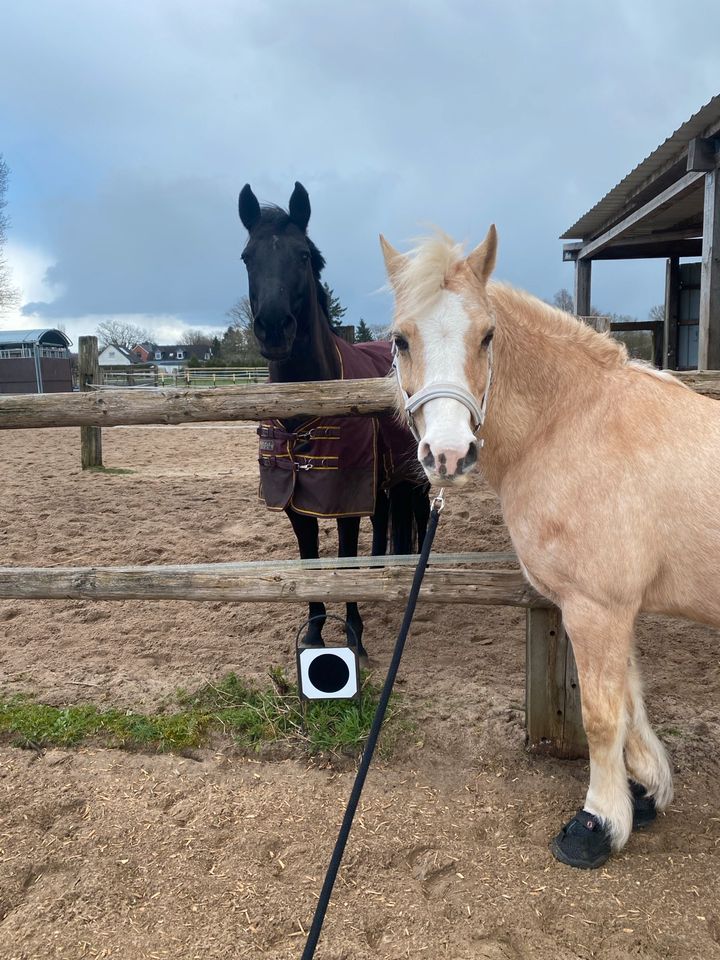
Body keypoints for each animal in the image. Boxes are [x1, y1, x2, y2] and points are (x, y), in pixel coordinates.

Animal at [238, 181, 428, 660]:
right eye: (247, 256)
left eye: (303, 254)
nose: (274, 327)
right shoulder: (294, 500)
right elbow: (310, 560)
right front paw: (314, 632)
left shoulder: (345, 497)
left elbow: (343, 558)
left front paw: (355, 635)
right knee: (386, 521)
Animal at [380, 225, 720, 872]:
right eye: (400, 338)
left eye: (487, 335)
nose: (448, 454)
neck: (573, 421)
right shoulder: (614, 609)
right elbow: (631, 701)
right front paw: (645, 792)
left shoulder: (596, 607)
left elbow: (602, 716)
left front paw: (598, 824)